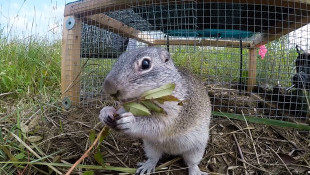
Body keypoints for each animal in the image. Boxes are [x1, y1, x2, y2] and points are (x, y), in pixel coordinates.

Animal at [99, 46, 211, 175]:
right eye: (119, 58)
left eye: (145, 64)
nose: (108, 87)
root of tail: (173, 152)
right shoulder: (129, 106)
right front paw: (106, 112)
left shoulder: (175, 114)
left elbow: (158, 125)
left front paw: (130, 121)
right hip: (150, 146)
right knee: (154, 158)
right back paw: (147, 166)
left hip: (197, 148)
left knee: (192, 163)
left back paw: (195, 171)